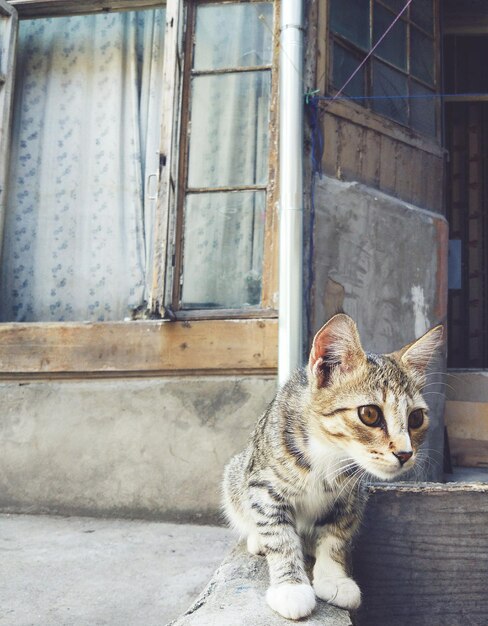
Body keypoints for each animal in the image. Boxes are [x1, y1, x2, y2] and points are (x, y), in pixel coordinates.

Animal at [223, 314, 444, 616]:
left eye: (416, 418)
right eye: (369, 414)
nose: (405, 453)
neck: (327, 455)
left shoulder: (351, 495)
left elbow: (336, 534)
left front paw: (334, 578)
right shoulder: (264, 485)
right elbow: (279, 534)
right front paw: (290, 587)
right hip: (236, 474)